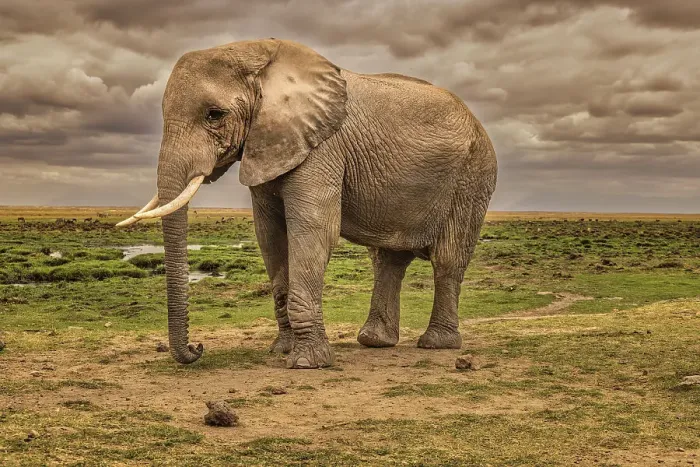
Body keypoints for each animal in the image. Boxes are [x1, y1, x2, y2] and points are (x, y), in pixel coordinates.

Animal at [117, 39, 497, 369]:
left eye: (214, 114)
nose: (198, 347)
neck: (258, 57)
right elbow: (270, 235)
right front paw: (281, 351)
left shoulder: (323, 147)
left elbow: (313, 229)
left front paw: (306, 363)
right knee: (387, 261)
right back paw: (374, 341)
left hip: (472, 176)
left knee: (447, 259)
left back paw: (437, 344)